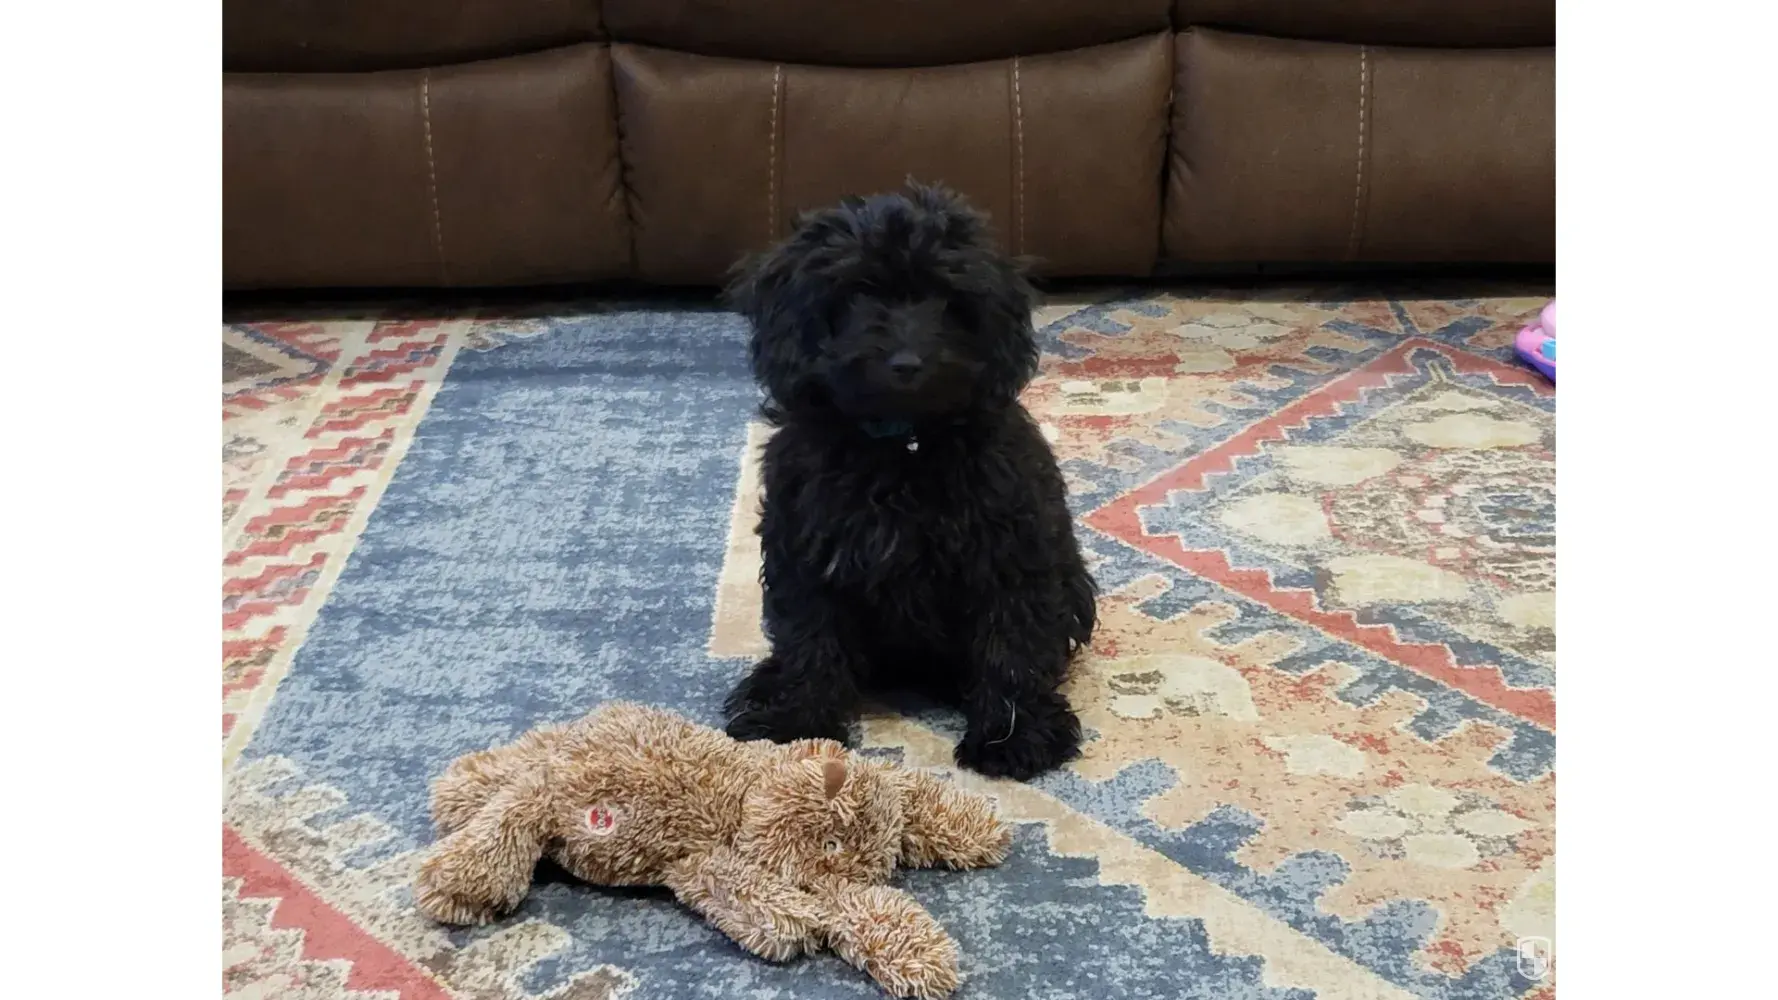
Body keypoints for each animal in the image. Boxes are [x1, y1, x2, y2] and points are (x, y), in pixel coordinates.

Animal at [721, 182, 1097, 781]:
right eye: (855, 293)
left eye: (946, 297)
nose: (907, 362)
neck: (901, 446)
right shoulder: (805, 550)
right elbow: (809, 637)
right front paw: (794, 719)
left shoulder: (1009, 555)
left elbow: (1010, 647)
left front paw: (1015, 737)